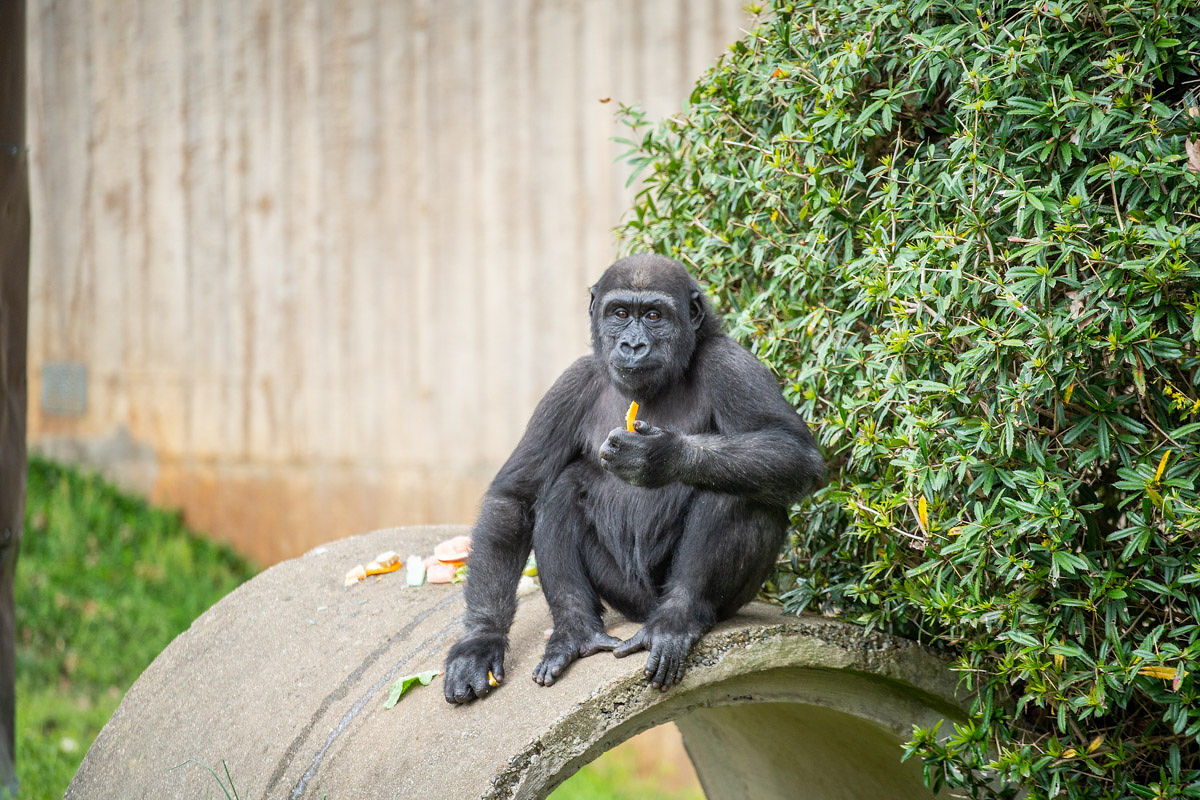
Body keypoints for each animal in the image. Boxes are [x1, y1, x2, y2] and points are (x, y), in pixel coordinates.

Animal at [441, 253, 825, 705]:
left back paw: (675, 619)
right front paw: (479, 641)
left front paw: (663, 456)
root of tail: (644, 614)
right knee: (562, 489)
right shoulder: (570, 386)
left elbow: (792, 450)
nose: (633, 345)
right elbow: (515, 497)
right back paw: (576, 630)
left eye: (654, 315)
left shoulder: (731, 364)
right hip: (624, 597)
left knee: (742, 490)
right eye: (621, 314)